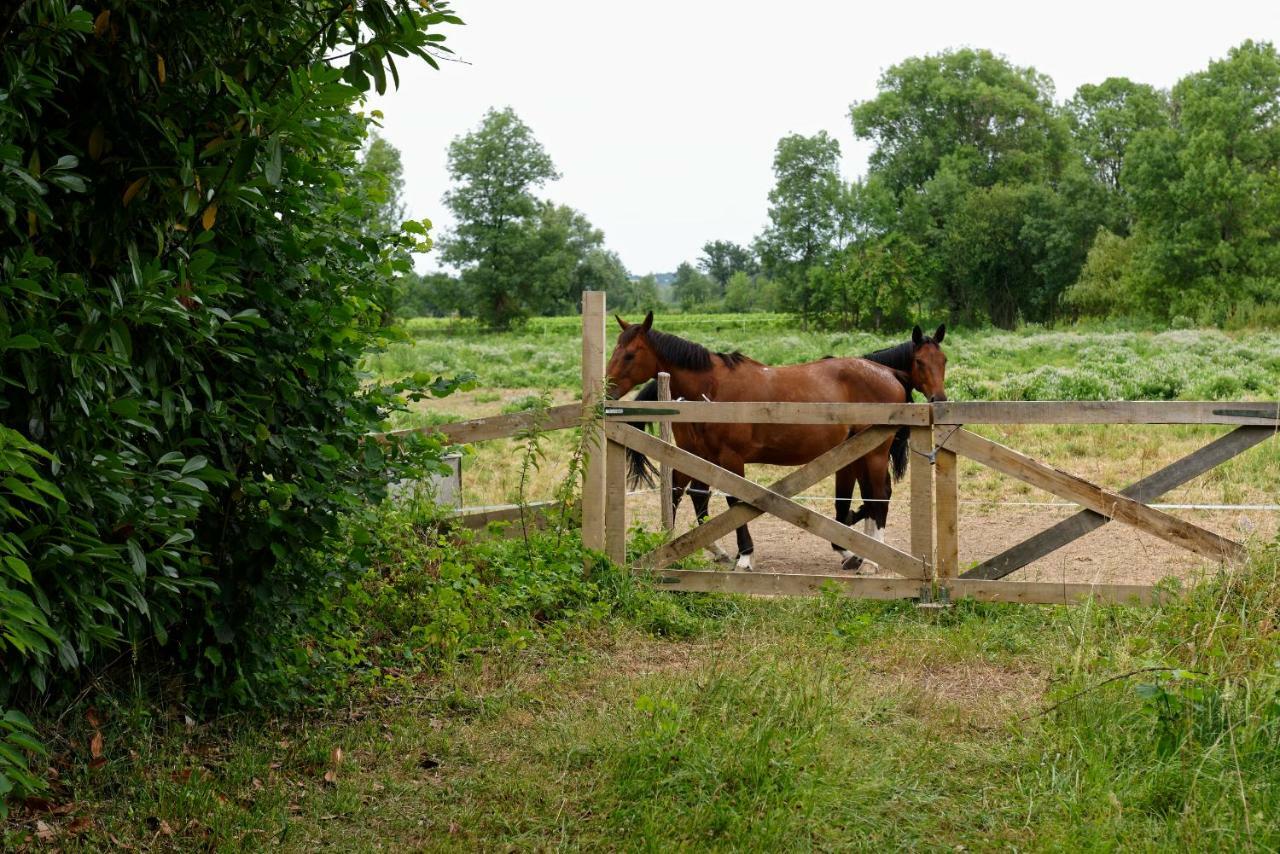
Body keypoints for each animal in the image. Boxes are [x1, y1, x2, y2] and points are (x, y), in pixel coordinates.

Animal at [604, 313, 947, 573]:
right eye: (614, 351)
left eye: (630, 354)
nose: (607, 391)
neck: (712, 389)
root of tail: (889, 372)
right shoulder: (699, 455)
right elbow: (688, 494)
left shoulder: (730, 458)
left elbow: (736, 501)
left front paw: (745, 556)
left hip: (873, 453)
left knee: (880, 494)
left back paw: (871, 561)